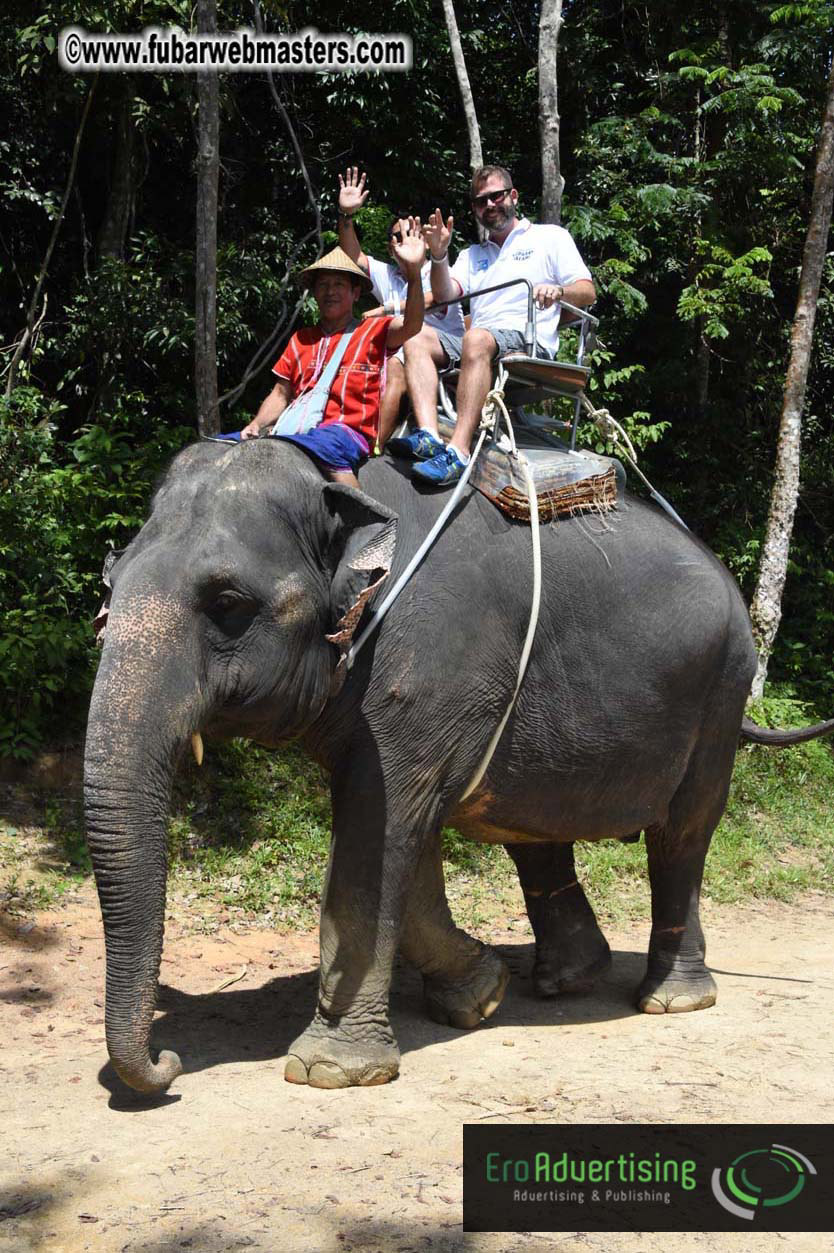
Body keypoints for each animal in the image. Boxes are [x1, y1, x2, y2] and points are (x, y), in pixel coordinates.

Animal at [84, 436, 834, 1094]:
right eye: (109, 585)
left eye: (229, 604)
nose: (169, 1062)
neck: (341, 491)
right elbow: (402, 835)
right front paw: (480, 994)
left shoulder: (428, 665)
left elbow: (377, 836)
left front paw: (331, 1071)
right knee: (536, 832)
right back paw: (565, 980)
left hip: (719, 691)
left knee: (682, 834)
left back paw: (671, 1000)